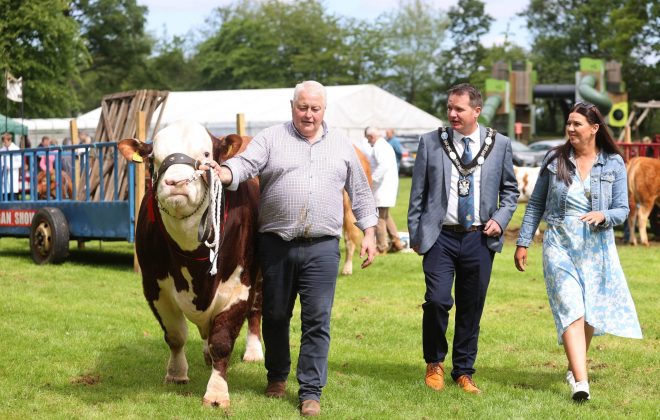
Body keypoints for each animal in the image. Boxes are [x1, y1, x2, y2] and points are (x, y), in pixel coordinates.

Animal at [117, 120, 262, 406]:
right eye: (153, 157)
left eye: (205, 154)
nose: (175, 182)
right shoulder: (154, 286)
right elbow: (175, 335)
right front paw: (176, 373)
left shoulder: (239, 287)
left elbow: (222, 341)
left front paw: (216, 393)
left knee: (256, 312)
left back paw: (253, 351)